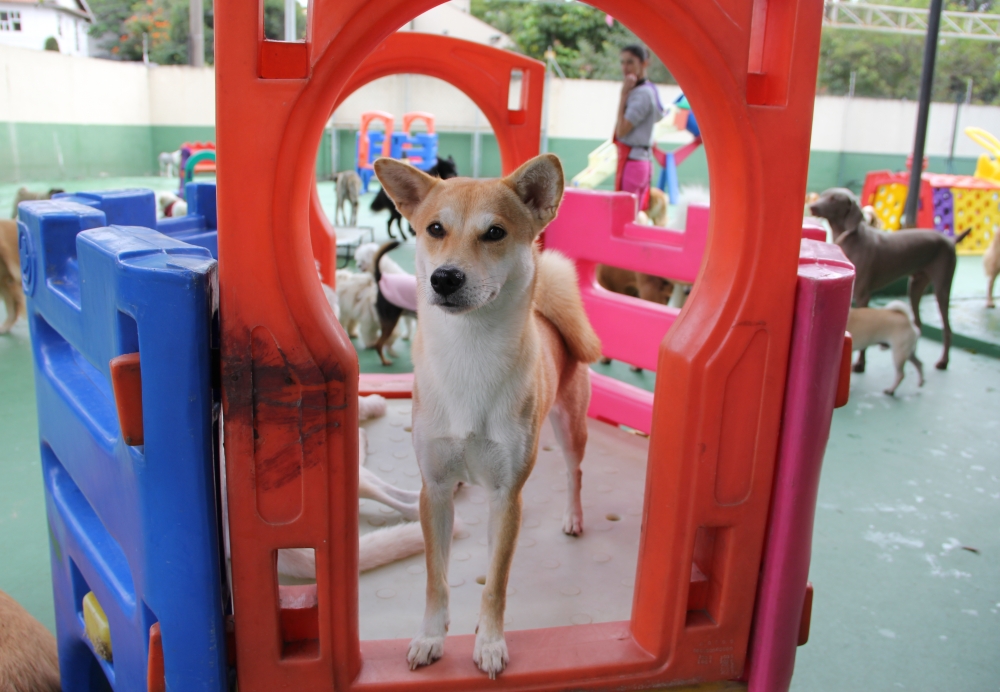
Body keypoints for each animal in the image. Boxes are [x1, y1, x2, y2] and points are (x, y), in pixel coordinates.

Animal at [376, 154, 600, 680]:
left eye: (495, 232)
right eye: (435, 229)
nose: (444, 278)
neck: (470, 355)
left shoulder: (505, 493)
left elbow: (496, 582)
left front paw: (491, 643)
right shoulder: (434, 490)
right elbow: (435, 577)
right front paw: (431, 637)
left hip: (569, 429)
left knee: (574, 473)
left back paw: (573, 516)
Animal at [808, 187, 972, 370]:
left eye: (835, 199)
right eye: (823, 195)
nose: (812, 207)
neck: (848, 237)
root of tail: (949, 239)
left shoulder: (863, 295)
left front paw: (860, 363)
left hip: (942, 288)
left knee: (947, 329)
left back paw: (943, 361)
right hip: (915, 286)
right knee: (918, 322)